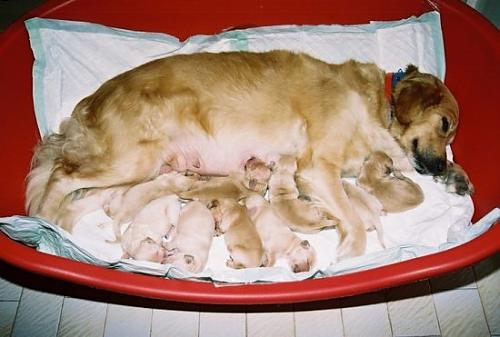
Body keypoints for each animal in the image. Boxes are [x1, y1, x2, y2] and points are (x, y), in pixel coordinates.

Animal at [26, 50, 472, 260]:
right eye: (445, 124)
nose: (436, 164)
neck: (378, 104)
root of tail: (91, 102)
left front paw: (455, 174)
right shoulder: (317, 167)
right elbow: (356, 223)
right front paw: (347, 250)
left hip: (138, 174)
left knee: (77, 200)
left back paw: (63, 235)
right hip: (129, 161)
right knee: (60, 176)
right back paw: (41, 222)